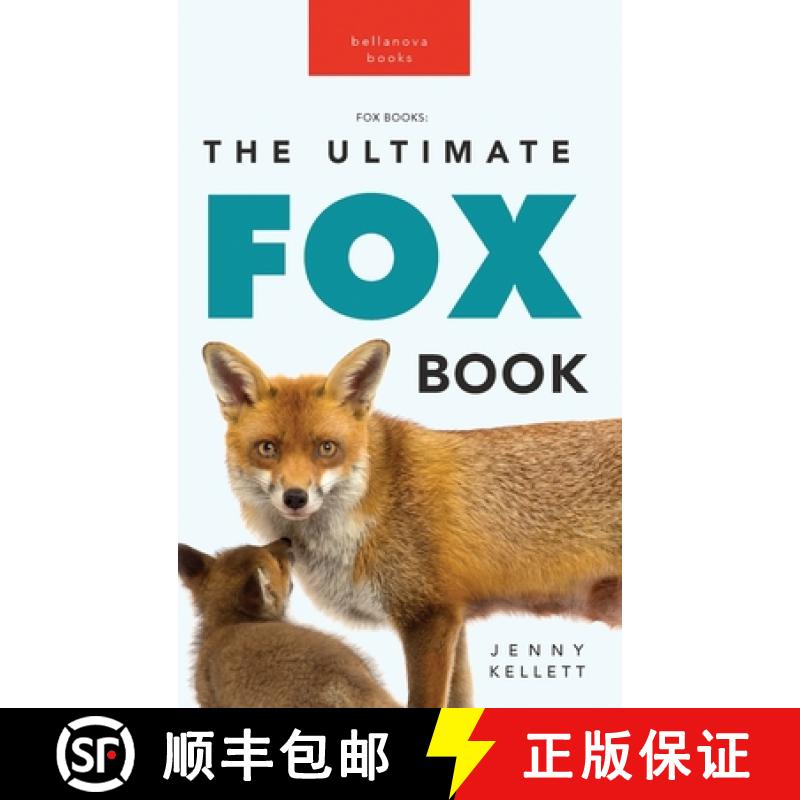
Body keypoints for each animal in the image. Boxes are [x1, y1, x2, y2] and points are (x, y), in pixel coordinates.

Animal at [202, 339, 621, 708]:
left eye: (326, 448)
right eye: (267, 448)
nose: (295, 498)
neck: (376, 503)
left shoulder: (428, 617)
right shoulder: (453, 618)